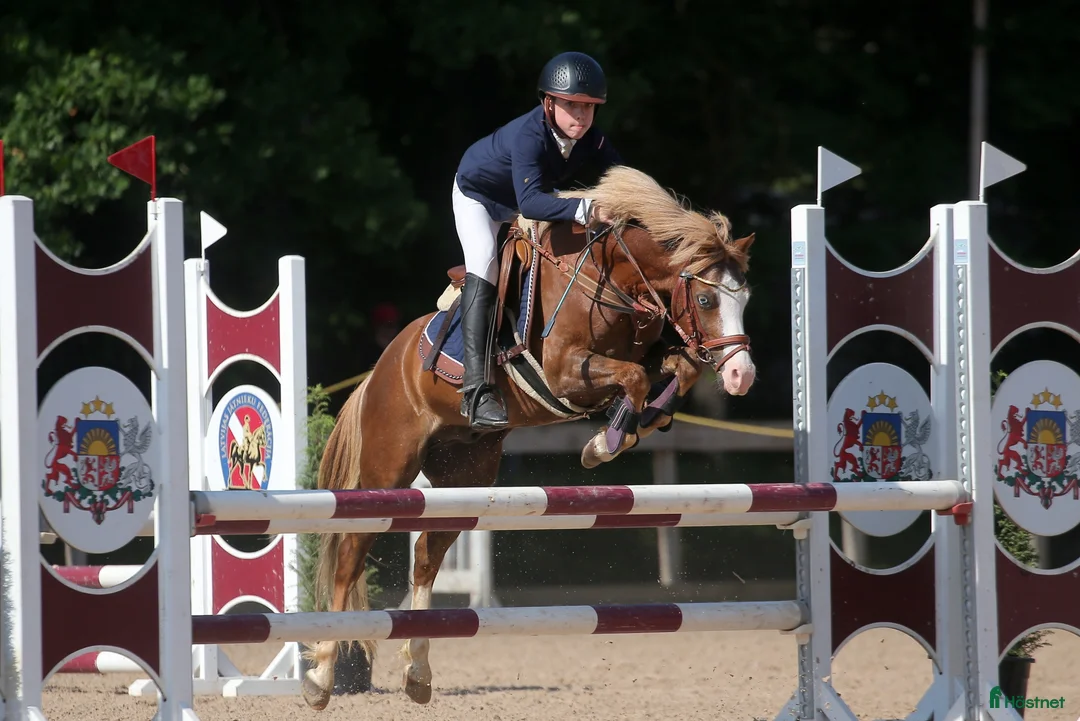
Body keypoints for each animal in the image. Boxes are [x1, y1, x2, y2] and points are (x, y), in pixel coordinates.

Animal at [300, 166, 757, 709]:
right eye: (706, 299)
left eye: (745, 300)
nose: (742, 378)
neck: (614, 281)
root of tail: (380, 368)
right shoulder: (565, 372)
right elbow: (634, 378)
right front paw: (606, 442)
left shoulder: (646, 354)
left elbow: (676, 370)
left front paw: (633, 427)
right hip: (386, 470)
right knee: (351, 553)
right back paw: (322, 677)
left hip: (463, 477)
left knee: (426, 559)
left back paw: (418, 673)